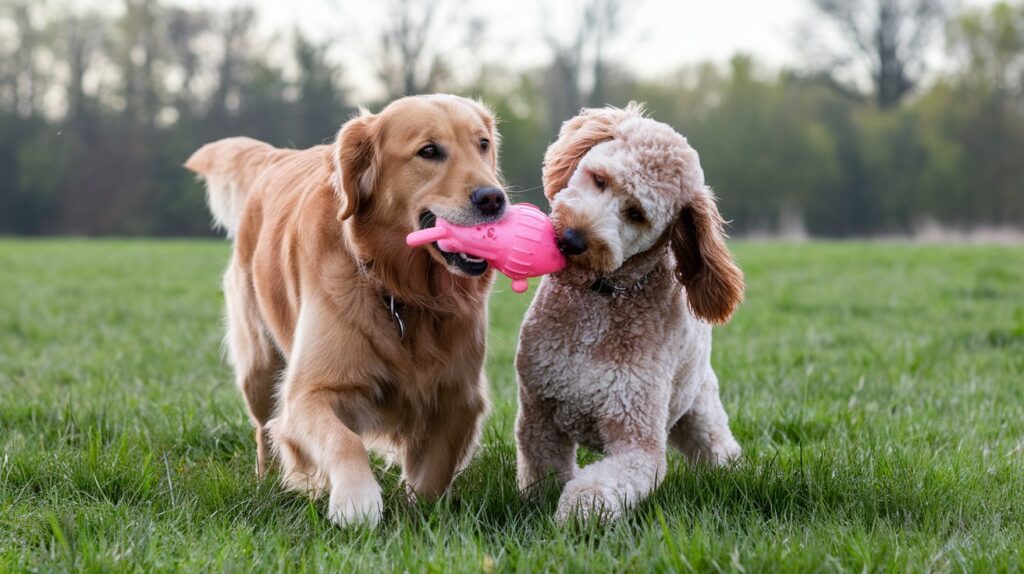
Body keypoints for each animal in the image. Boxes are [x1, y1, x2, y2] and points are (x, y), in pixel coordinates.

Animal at [516, 102, 749, 519]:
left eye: (636, 213)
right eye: (599, 179)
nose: (572, 239)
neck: (599, 297)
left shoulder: (635, 437)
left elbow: (602, 482)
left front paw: (579, 512)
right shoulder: (539, 417)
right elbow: (542, 472)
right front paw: (538, 506)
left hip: (699, 408)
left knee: (717, 446)